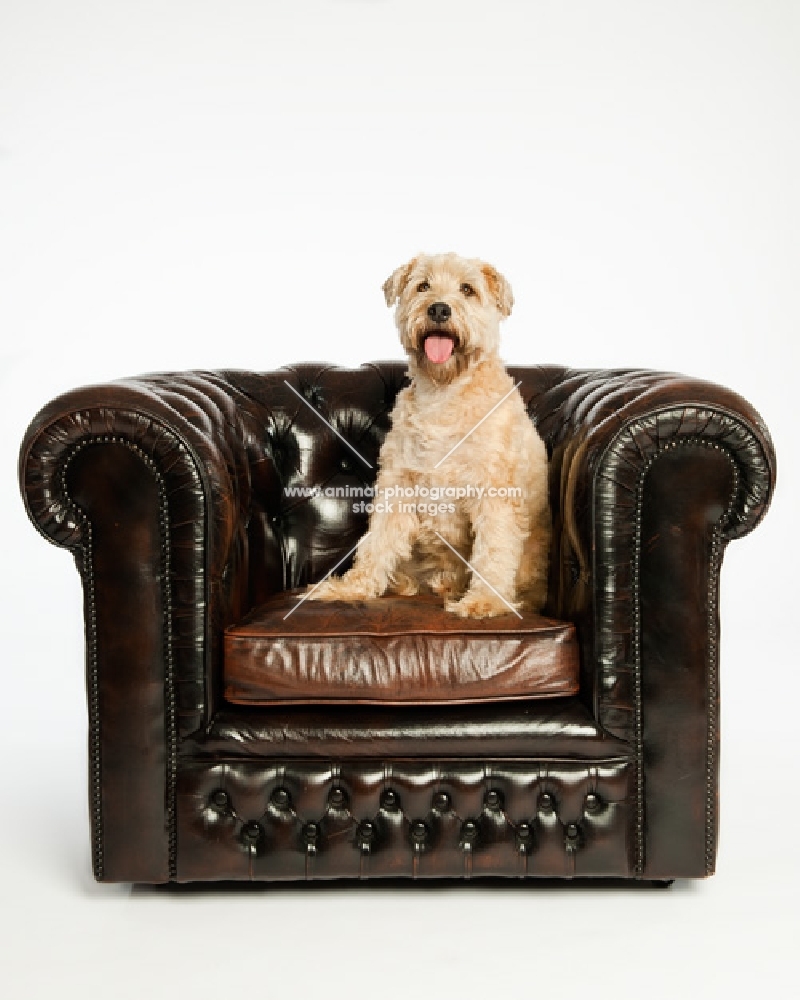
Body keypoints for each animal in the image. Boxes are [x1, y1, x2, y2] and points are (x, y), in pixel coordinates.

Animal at [306, 254, 552, 612]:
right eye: (423, 285)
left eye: (468, 289)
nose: (438, 309)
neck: (444, 392)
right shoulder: (398, 485)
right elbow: (377, 543)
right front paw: (353, 587)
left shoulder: (494, 494)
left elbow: (493, 550)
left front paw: (484, 602)